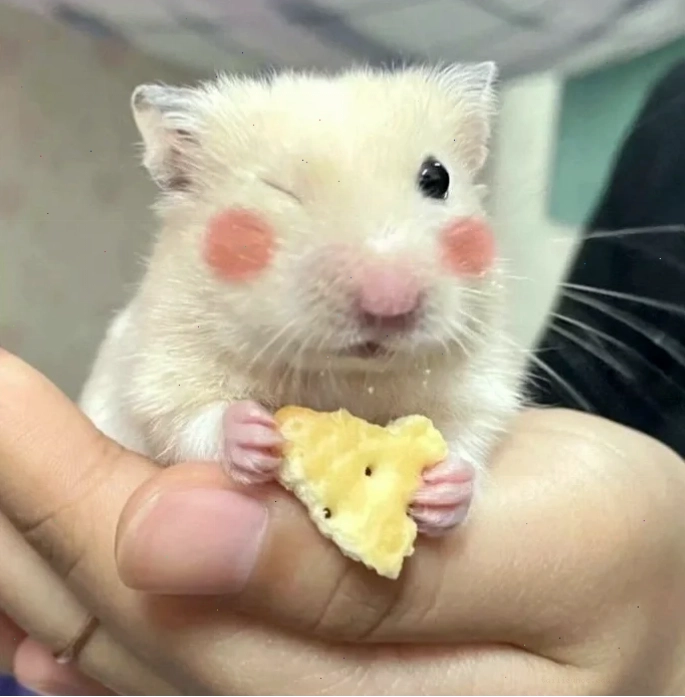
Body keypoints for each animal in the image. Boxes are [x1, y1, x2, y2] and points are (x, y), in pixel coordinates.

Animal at [78, 62, 525, 537]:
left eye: (437, 178)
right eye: (279, 189)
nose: (389, 301)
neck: (344, 376)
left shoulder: (479, 382)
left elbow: (468, 435)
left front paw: (445, 489)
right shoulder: (160, 373)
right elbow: (190, 420)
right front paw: (256, 434)